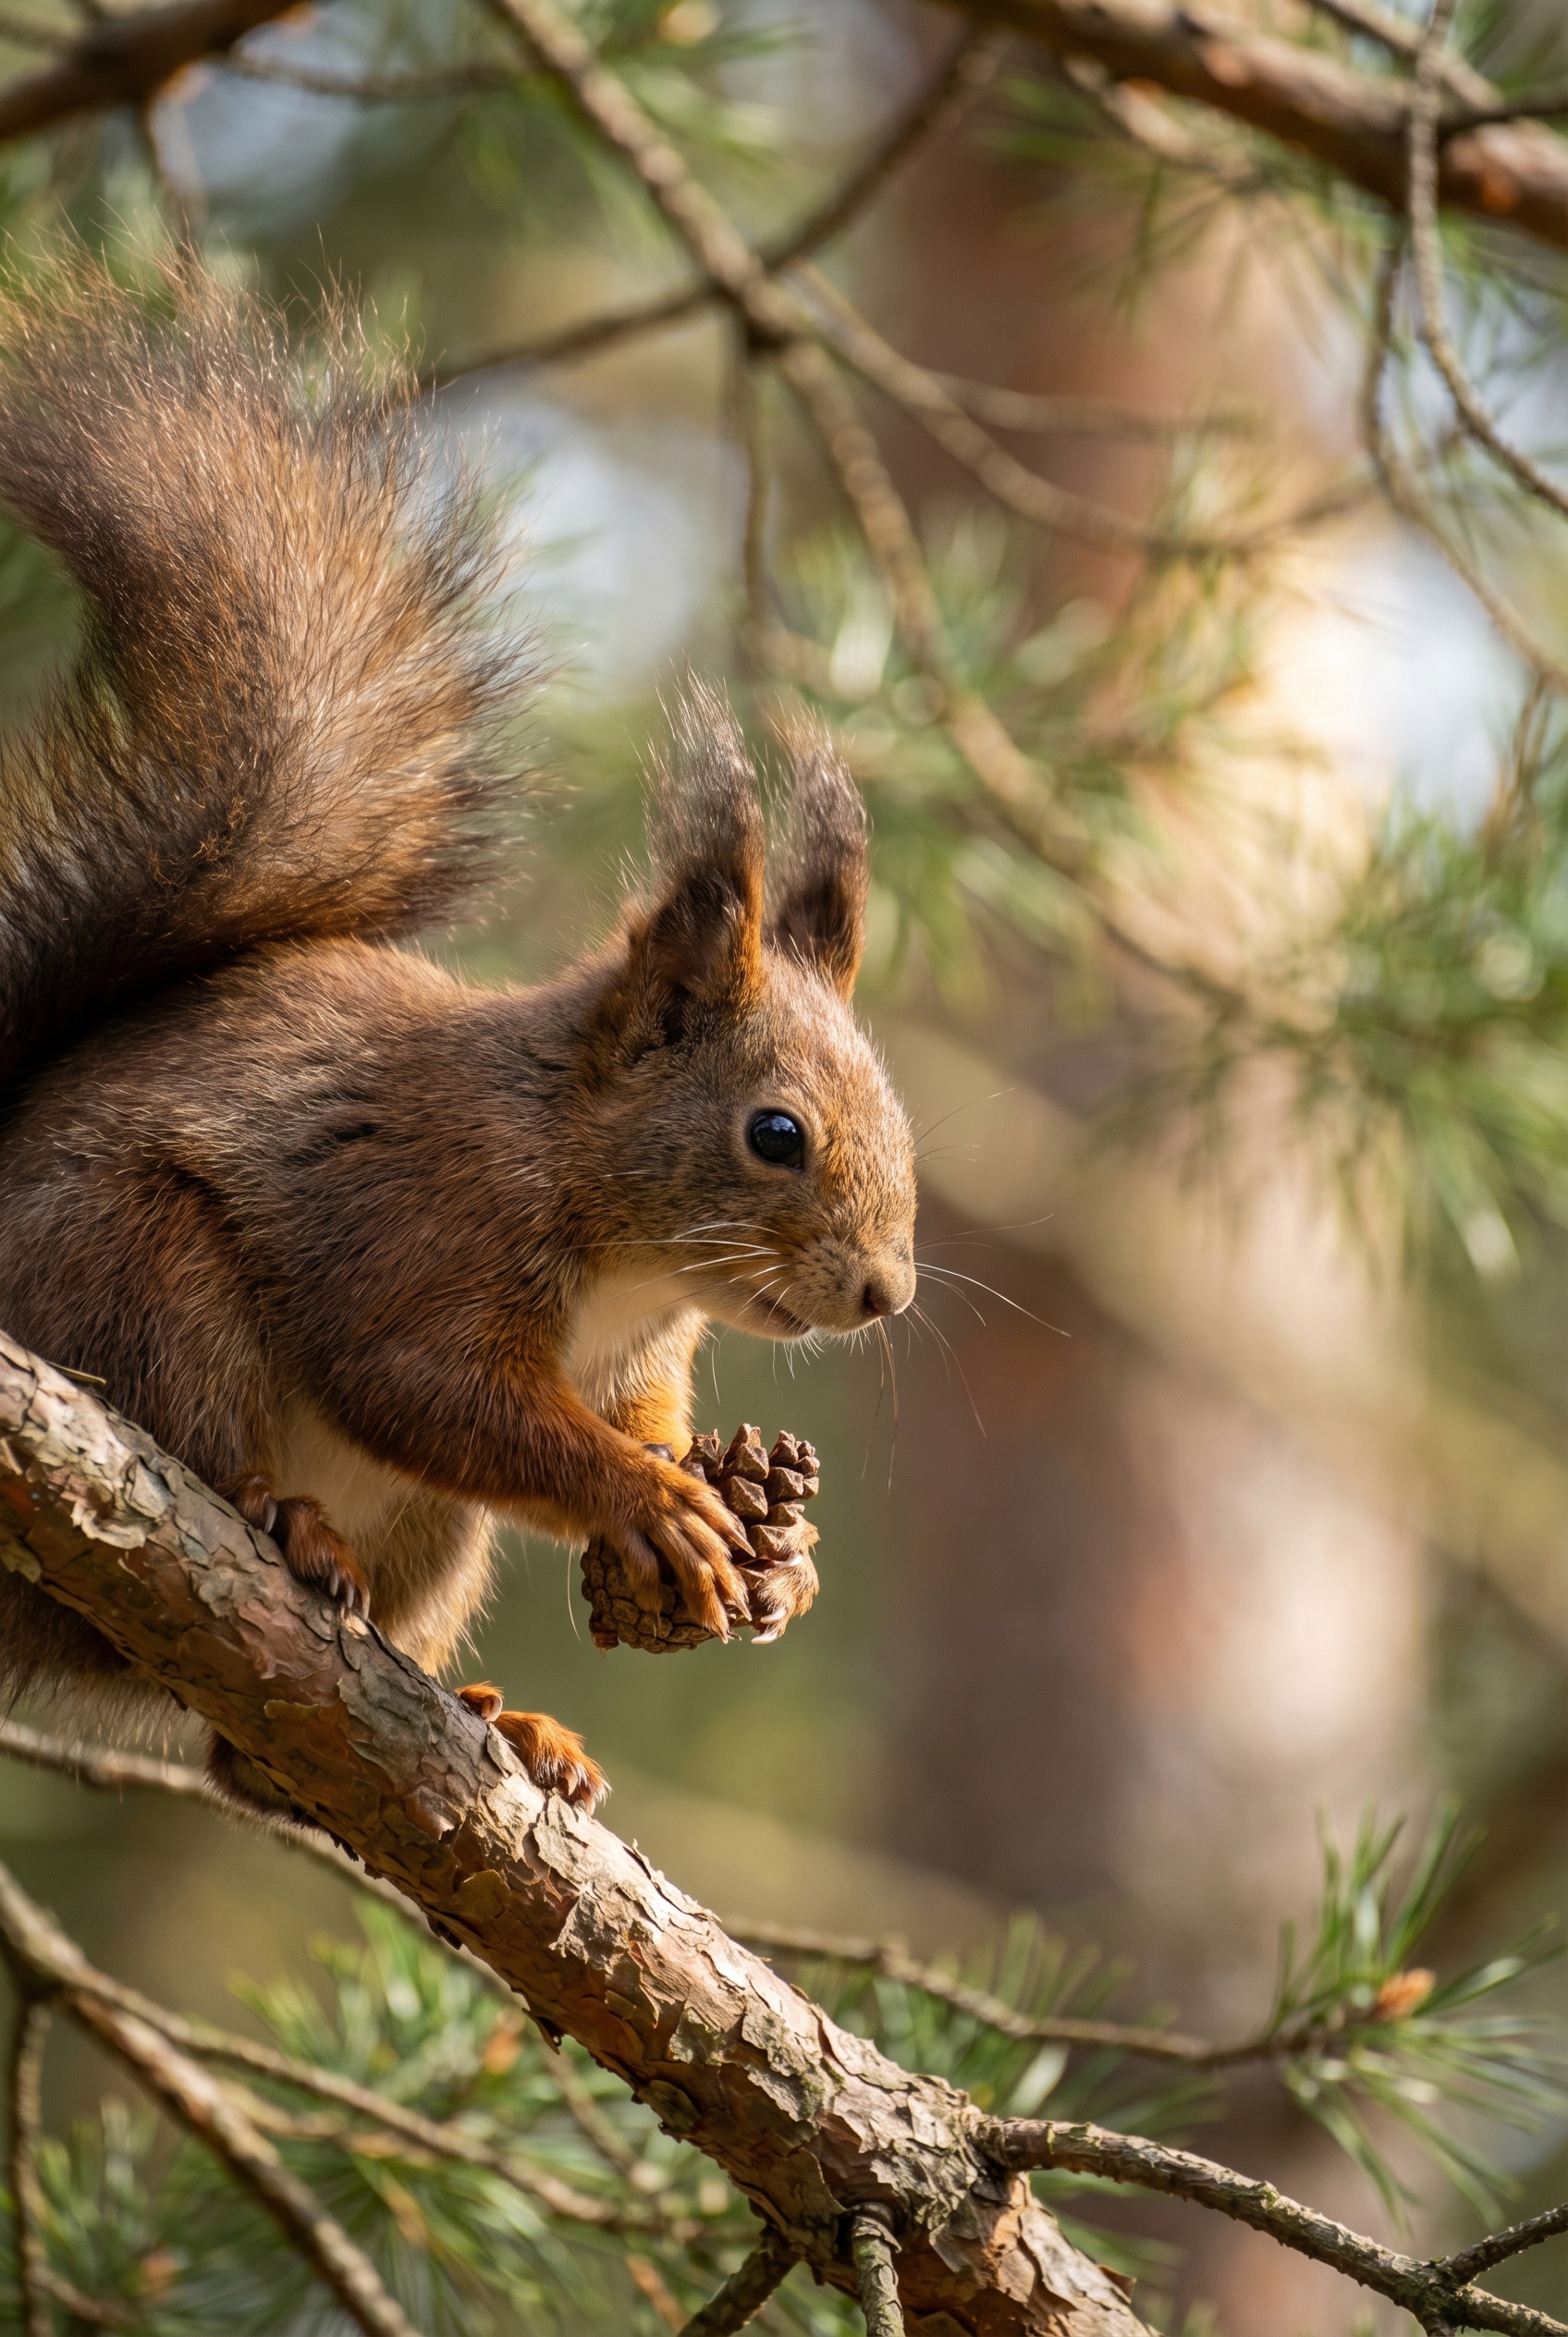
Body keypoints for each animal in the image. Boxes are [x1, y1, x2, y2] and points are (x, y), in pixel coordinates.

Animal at [0, 263, 917, 1818]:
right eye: (775, 1133)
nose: (885, 1293)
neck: (605, 1209)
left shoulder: (634, 1354)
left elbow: (641, 1407)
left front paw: (761, 1537)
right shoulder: (425, 1217)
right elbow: (428, 1387)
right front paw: (647, 1497)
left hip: (434, 1542)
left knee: (250, 1750)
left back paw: (501, 1721)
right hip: (138, 1272)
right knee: (197, 1449)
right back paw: (284, 1521)